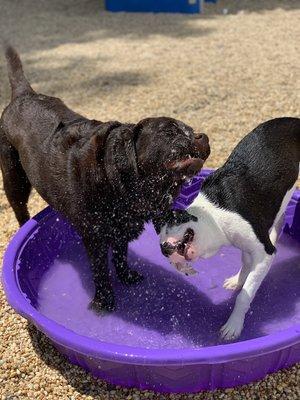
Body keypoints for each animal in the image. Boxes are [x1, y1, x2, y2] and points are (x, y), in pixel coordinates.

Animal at [0, 47, 211, 312]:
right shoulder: (95, 237)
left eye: (190, 130)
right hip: (14, 179)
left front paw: (126, 277)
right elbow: (100, 269)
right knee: (19, 207)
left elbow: (120, 256)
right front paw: (103, 301)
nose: (201, 136)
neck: (120, 179)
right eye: (170, 132)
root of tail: (24, 94)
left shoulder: (121, 227)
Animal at [161, 118, 298, 340]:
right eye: (158, 240)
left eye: (171, 225)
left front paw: (233, 326)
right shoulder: (245, 245)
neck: (212, 214)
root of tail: (293, 120)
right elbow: (246, 264)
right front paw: (237, 280)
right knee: (280, 217)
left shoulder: (264, 253)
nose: (164, 248)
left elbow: (244, 296)